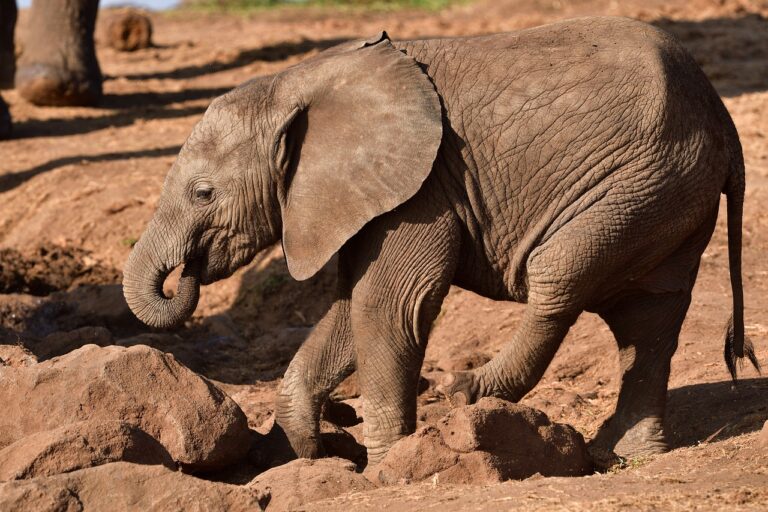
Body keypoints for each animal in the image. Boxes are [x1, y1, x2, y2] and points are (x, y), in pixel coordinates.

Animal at [123, 16, 759, 466]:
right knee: (650, 318)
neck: (298, 83)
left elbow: (388, 305)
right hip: (672, 194)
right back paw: (623, 454)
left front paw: (382, 464)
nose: (185, 274)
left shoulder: (423, 185)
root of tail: (725, 119)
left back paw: (464, 392)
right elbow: (350, 308)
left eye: (203, 193)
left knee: (559, 273)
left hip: (643, 180)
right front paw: (310, 448)